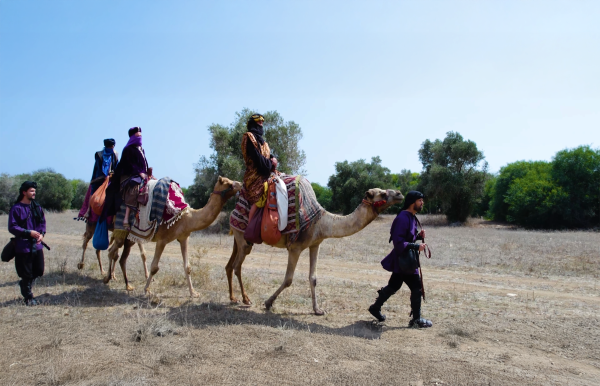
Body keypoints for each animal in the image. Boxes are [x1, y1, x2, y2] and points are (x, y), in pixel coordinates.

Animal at [104, 176, 243, 298]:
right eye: (228, 183)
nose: (241, 184)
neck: (187, 218)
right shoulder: (162, 240)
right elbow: (154, 267)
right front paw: (146, 290)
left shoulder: (184, 238)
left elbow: (187, 267)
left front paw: (194, 293)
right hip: (122, 232)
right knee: (112, 251)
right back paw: (107, 278)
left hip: (130, 237)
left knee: (118, 255)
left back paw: (121, 282)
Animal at [227, 188, 406, 316]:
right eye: (382, 193)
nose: (399, 194)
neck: (323, 224)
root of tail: (234, 210)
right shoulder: (295, 248)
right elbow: (289, 279)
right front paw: (268, 303)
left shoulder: (315, 244)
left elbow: (313, 278)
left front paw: (318, 310)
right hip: (243, 238)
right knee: (237, 266)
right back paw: (244, 299)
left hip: (239, 238)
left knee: (231, 265)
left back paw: (234, 298)